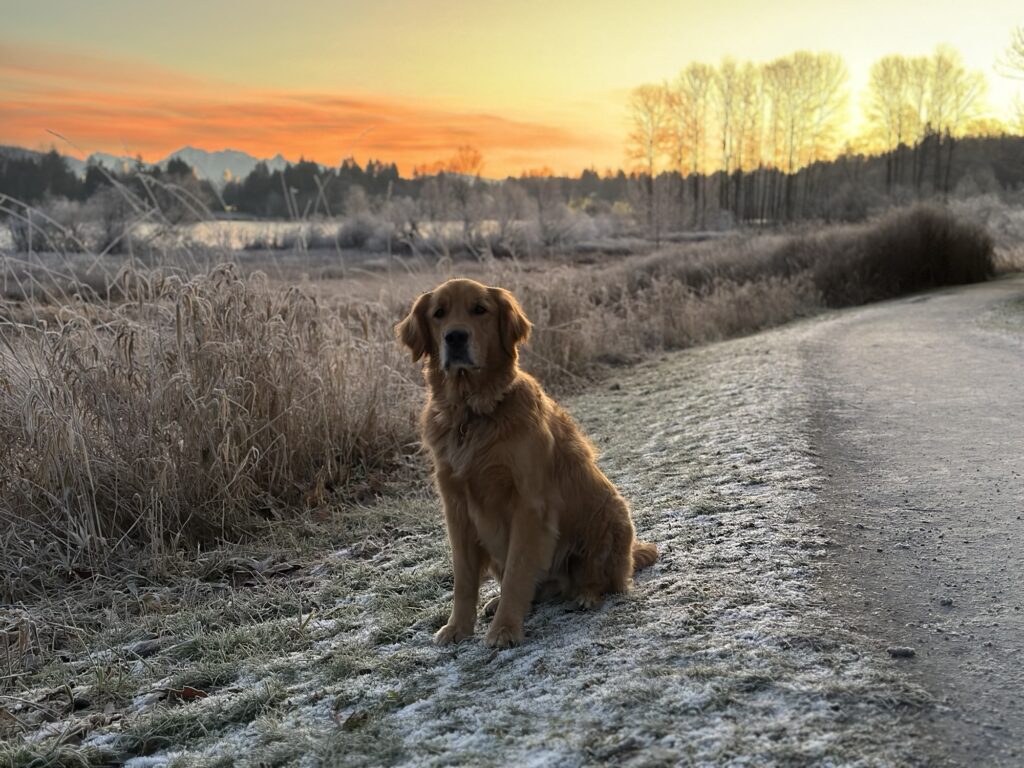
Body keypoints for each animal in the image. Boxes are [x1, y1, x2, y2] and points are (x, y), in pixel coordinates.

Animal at [393, 280, 655, 647]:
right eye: (439, 313)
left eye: (480, 309)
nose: (455, 337)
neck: (472, 413)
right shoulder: (456, 508)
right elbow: (464, 578)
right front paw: (458, 627)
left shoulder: (529, 506)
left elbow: (518, 572)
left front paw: (505, 630)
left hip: (611, 514)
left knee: (602, 579)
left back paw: (586, 595)